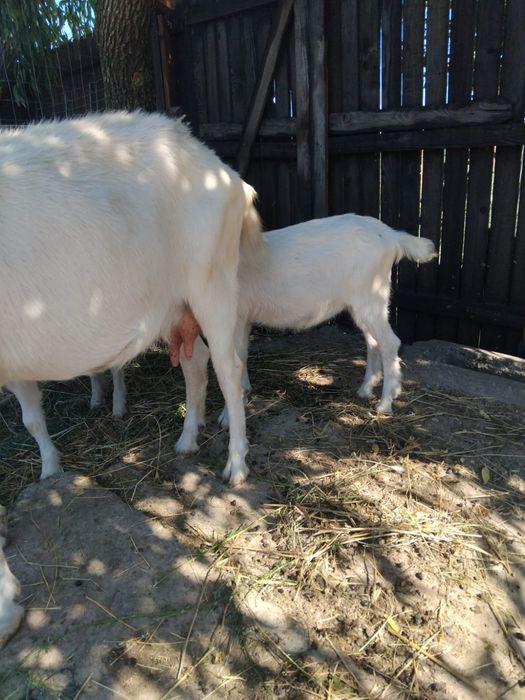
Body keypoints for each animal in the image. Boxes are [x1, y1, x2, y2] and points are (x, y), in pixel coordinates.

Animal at [0, 111, 262, 486]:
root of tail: (229, 176)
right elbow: (32, 419)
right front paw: (50, 470)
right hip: (173, 307)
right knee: (195, 363)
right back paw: (187, 440)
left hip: (213, 284)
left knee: (229, 369)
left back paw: (237, 465)